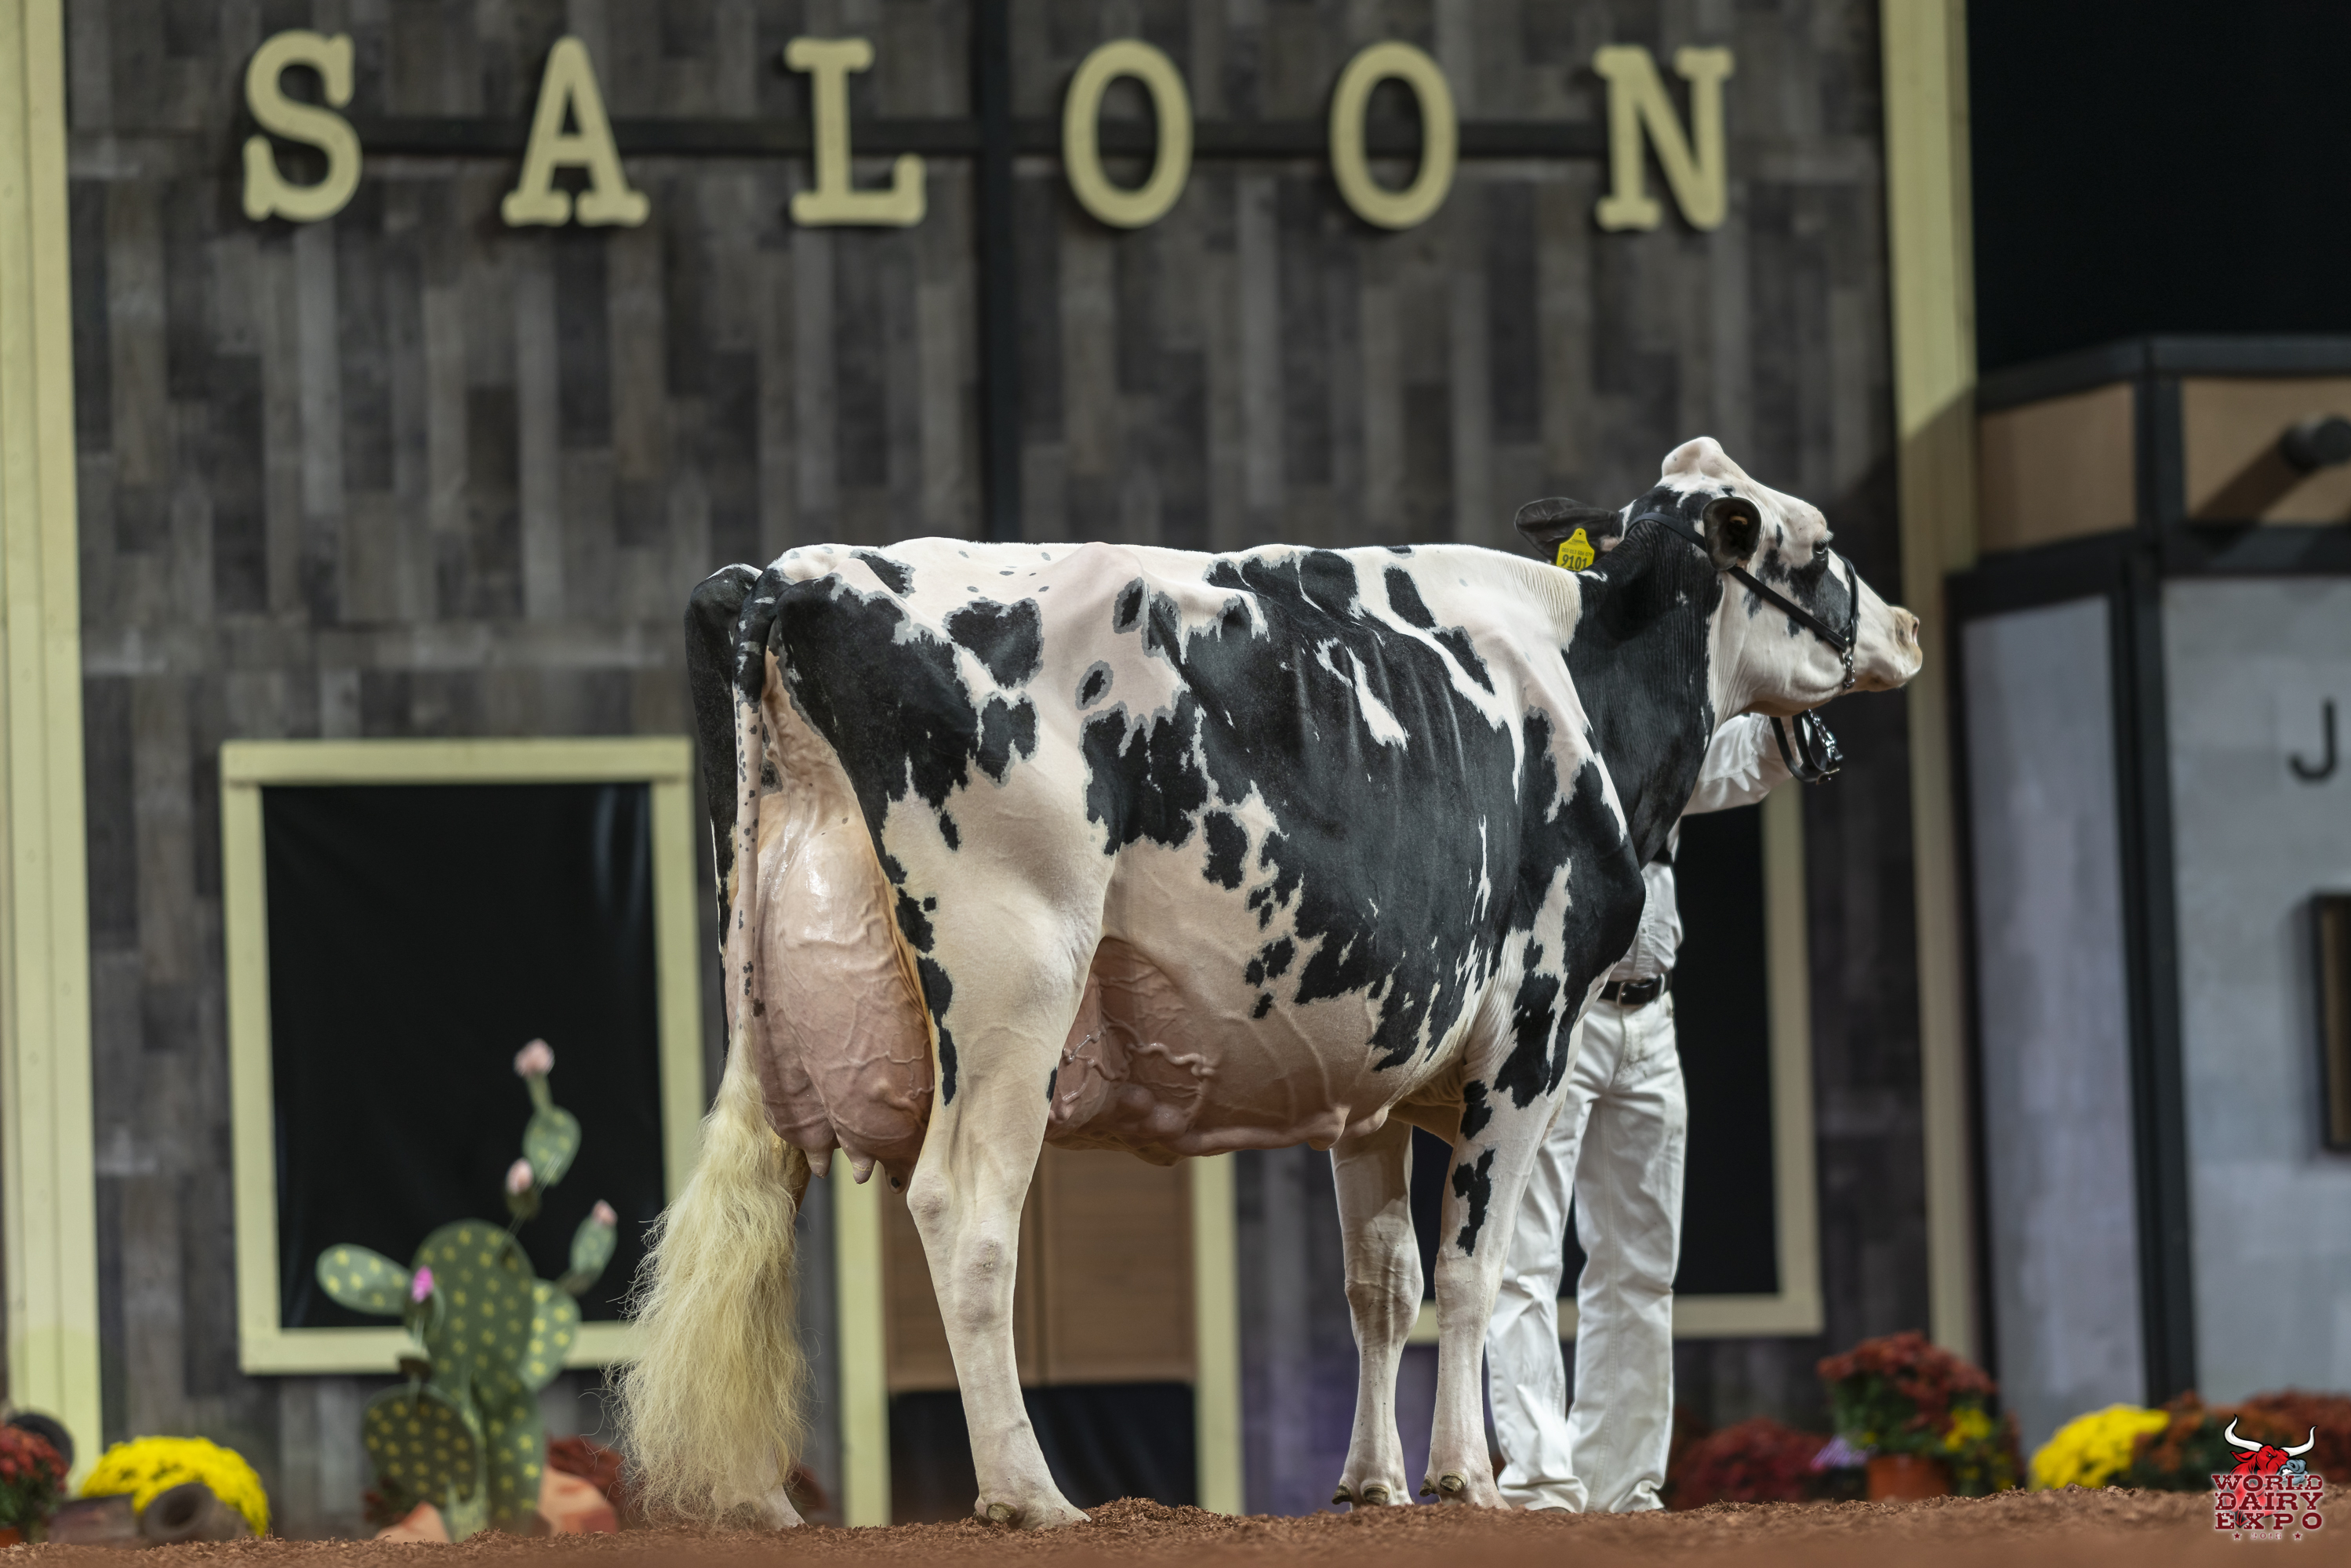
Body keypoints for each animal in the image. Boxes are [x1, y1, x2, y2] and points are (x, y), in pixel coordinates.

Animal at [615, 437, 1921, 1529]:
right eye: (1819, 547)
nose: (1906, 625)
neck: (1589, 682)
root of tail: (798, 572)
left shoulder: (1380, 1067)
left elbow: (1380, 1281)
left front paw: (1372, 1485)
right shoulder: (1529, 1040)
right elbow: (1477, 1270)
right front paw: (1469, 1480)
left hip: (767, 1014)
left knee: (754, 1218)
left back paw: (760, 1505)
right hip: (1011, 988)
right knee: (966, 1212)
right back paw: (1030, 1496)